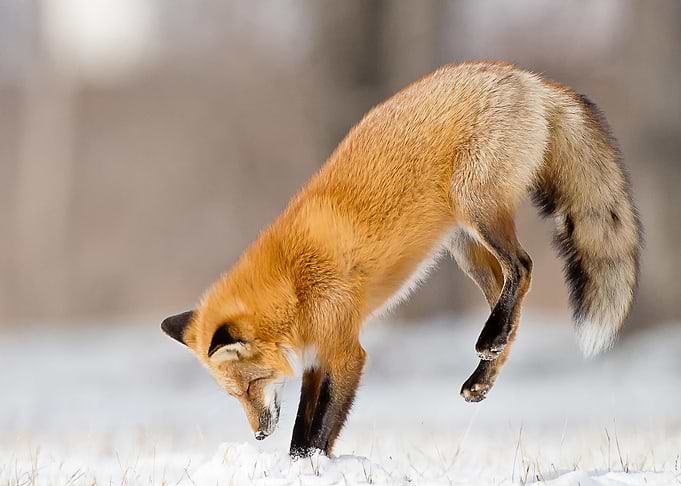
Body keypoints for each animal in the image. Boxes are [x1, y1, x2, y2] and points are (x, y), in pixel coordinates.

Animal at [161, 61, 641, 458]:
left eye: (251, 385)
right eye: (233, 395)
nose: (259, 435)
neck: (293, 283)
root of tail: (525, 76)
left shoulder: (345, 351)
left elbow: (315, 434)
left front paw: (312, 465)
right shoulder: (318, 356)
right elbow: (303, 429)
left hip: (476, 207)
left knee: (523, 266)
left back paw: (489, 338)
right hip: (465, 246)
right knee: (512, 295)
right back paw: (482, 376)